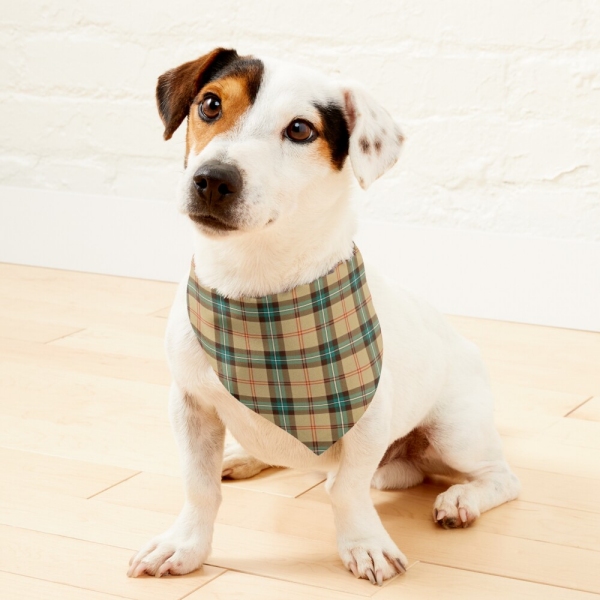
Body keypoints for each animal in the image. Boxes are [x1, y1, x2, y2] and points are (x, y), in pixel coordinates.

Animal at [127, 48, 520, 584]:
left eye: (299, 130)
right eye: (210, 104)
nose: (212, 179)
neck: (256, 286)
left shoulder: (368, 420)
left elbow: (347, 490)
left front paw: (365, 544)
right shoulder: (190, 405)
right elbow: (199, 486)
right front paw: (185, 545)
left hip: (456, 432)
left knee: (500, 477)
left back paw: (461, 499)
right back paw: (244, 456)